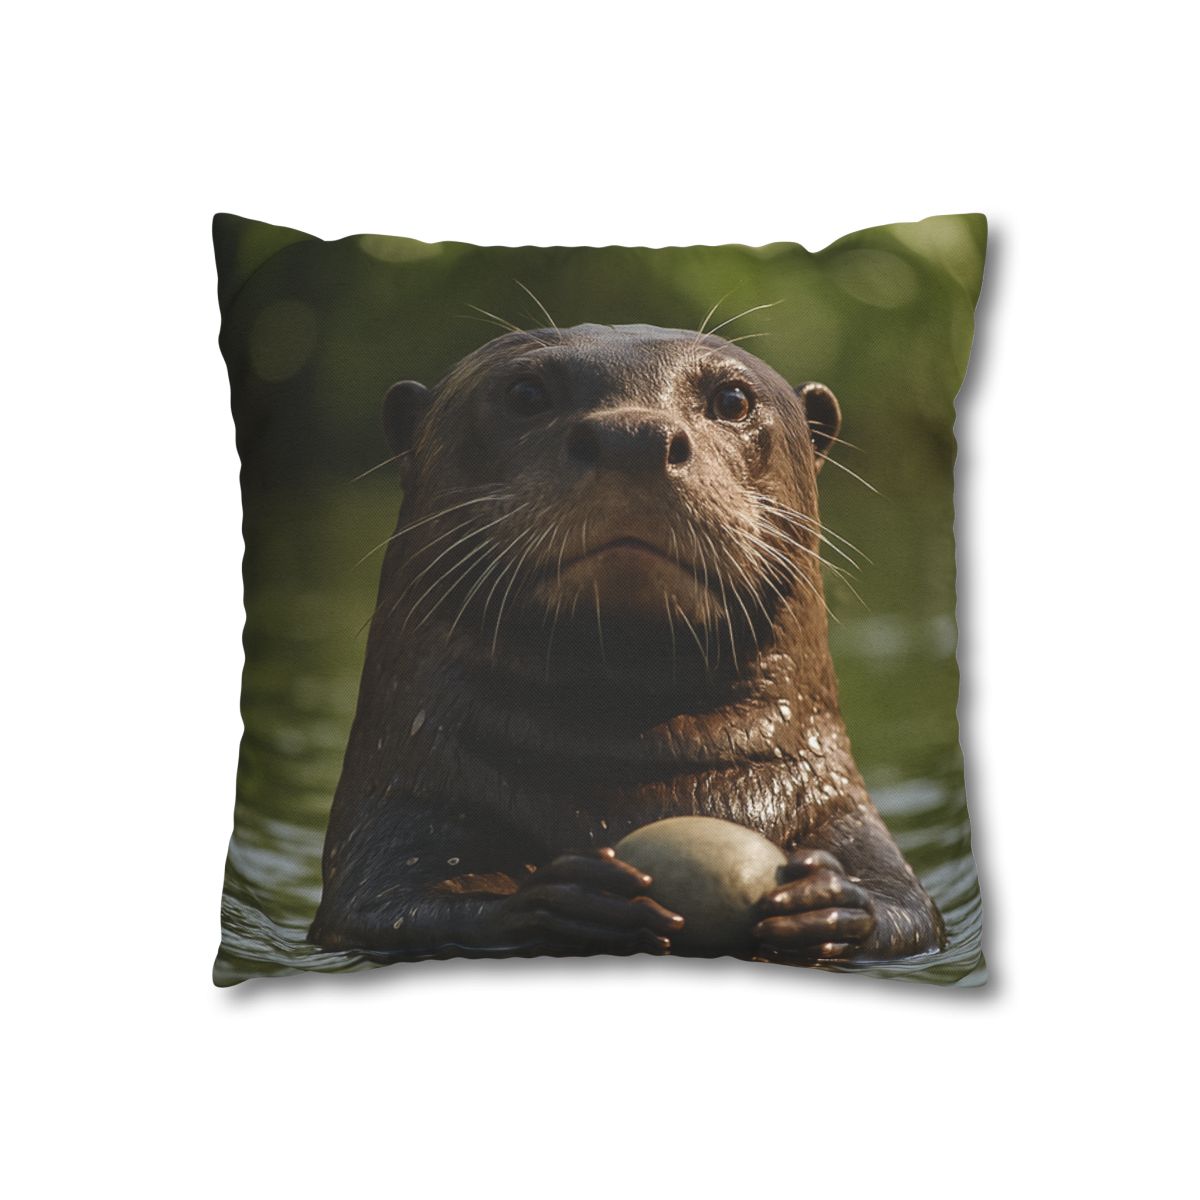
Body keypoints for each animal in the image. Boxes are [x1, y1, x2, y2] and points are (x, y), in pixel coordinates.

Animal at [309, 323, 943, 965]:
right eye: (525, 393)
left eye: (732, 400)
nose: (634, 436)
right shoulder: (397, 816)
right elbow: (392, 907)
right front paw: (568, 897)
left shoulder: (844, 814)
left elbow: (909, 912)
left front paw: (825, 900)